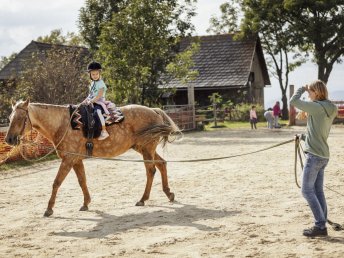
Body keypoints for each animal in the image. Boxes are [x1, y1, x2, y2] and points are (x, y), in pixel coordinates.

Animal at [5, 100, 180, 217]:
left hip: (147, 149)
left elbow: (56, 183)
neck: (63, 124)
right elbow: (82, 180)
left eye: (20, 118)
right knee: (161, 164)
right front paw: (86, 203)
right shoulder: (76, 160)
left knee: (151, 170)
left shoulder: (68, 160)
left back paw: (143, 199)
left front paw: (49, 209)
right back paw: (168, 194)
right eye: (9, 118)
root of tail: (154, 111)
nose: (9, 139)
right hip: (143, 149)